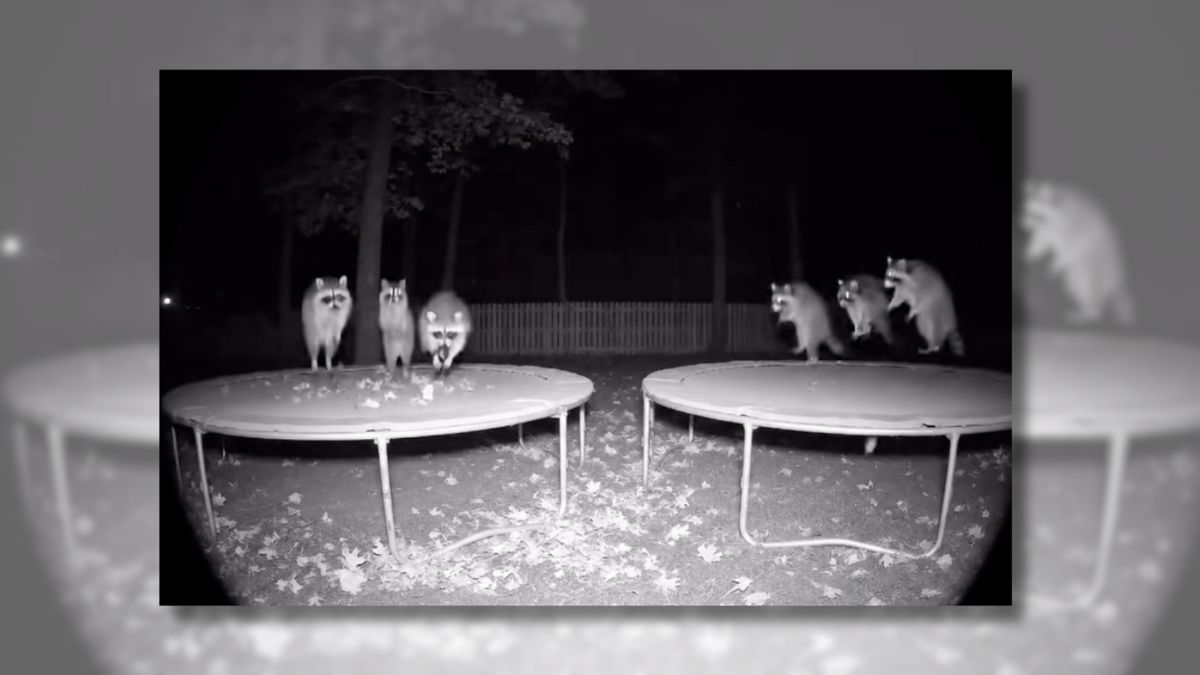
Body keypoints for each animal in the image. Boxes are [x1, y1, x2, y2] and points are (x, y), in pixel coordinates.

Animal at [1021, 180, 1136, 326]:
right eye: (1023, 210)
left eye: (1034, 214)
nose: (1022, 224)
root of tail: (1118, 280)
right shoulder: (1046, 231)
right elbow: (1040, 245)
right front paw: (1028, 255)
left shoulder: (1076, 229)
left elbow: (1073, 249)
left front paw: (1056, 263)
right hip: (1075, 277)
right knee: (1073, 282)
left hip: (1098, 272)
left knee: (1088, 285)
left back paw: (1091, 312)